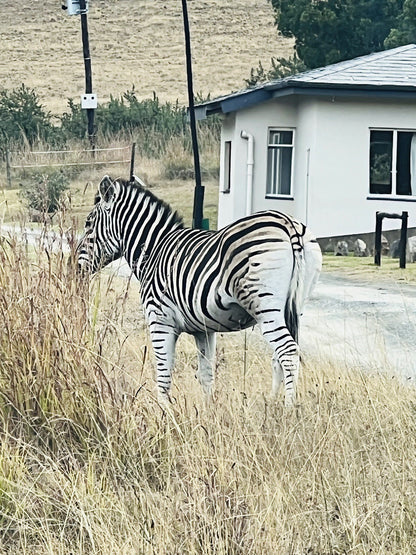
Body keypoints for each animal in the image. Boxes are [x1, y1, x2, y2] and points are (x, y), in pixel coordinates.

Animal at [76, 176, 322, 406]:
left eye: (88, 224)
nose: (75, 267)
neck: (153, 250)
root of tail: (287, 222)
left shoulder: (160, 320)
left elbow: (163, 376)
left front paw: (165, 415)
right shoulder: (203, 329)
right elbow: (206, 374)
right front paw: (207, 411)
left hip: (264, 305)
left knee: (287, 352)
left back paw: (287, 408)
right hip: (295, 305)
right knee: (282, 354)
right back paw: (271, 404)